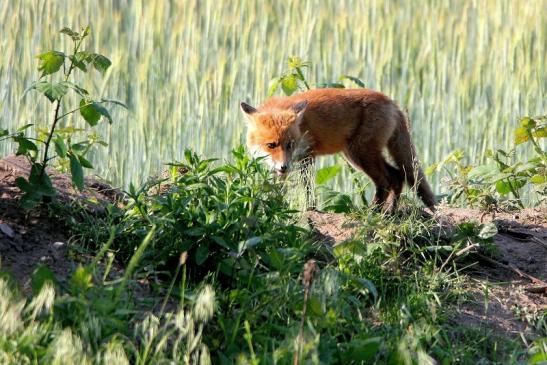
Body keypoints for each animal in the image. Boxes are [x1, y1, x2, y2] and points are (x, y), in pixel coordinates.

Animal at [240, 88, 436, 212]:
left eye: (290, 144)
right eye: (271, 145)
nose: (284, 167)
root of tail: (391, 102)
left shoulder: (307, 154)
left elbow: (308, 187)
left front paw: (311, 209)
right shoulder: (283, 164)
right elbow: (277, 189)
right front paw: (274, 205)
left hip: (361, 154)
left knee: (386, 180)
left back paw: (372, 212)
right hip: (357, 155)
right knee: (397, 176)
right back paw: (390, 212)